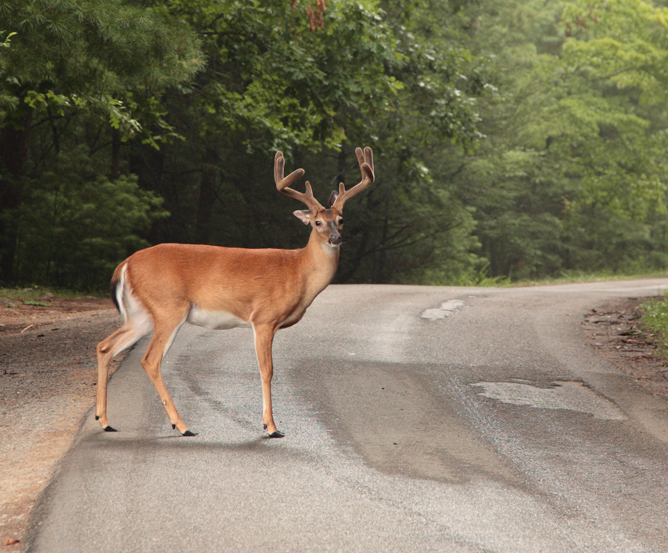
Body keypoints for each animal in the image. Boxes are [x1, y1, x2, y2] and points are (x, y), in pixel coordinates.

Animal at [94, 146, 376, 436]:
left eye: (341, 220)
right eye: (317, 222)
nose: (335, 238)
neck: (298, 270)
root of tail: (125, 265)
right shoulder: (264, 317)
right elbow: (267, 370)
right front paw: (271, 426)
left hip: (142, 314)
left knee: (105, 346)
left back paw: (105, 421)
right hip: (169, 307)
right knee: (150, 360)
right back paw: (182, 426)